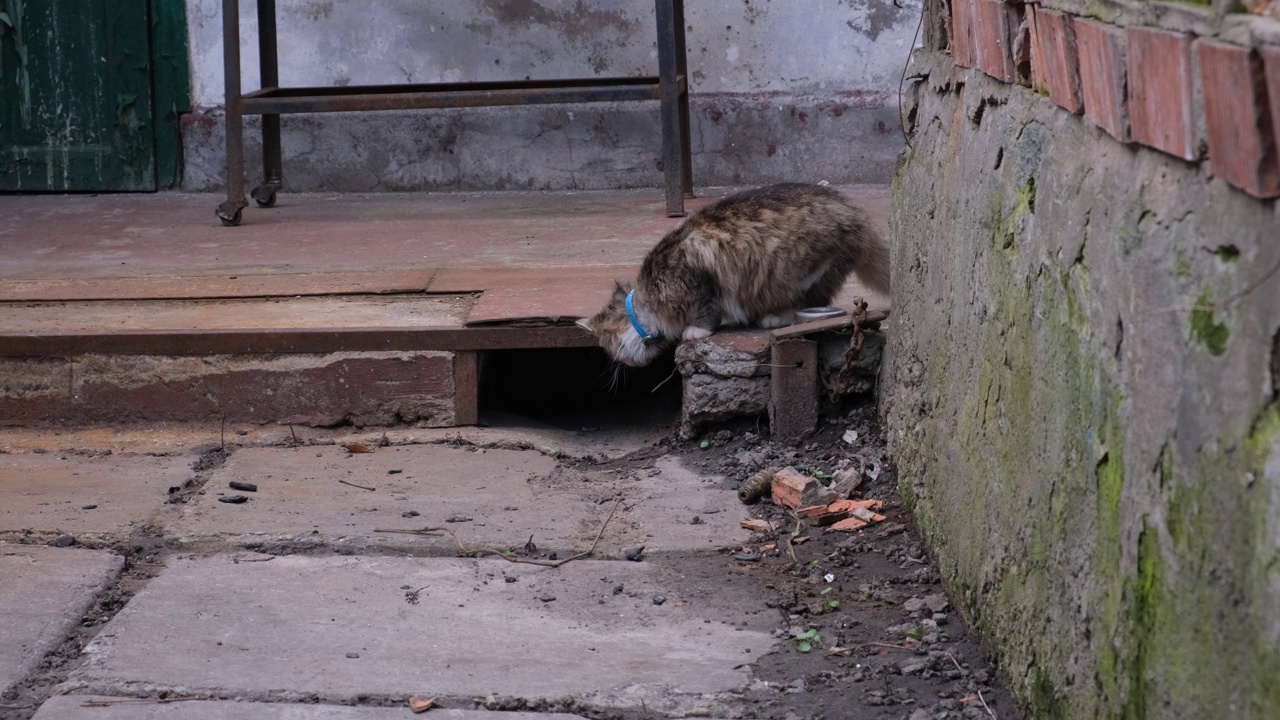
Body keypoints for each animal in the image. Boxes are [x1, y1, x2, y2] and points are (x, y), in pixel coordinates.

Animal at [581, 181, 890, 366]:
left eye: (610, 348)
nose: (620, 364)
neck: (646, 299)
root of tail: (855, 212)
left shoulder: (699, 276)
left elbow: (706, 312)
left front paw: (694, 330)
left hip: (807, 270)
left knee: (807, 303)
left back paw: (775, 317)